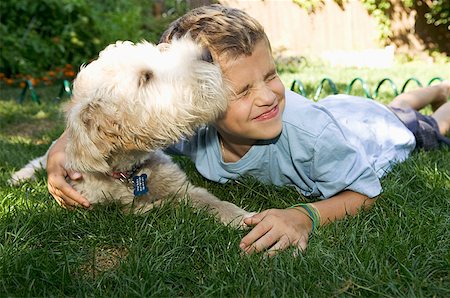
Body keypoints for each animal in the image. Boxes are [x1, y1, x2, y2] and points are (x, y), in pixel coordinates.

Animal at [8, 38, 253, 227]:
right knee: (39, 159)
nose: (207, 54)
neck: (130, 173)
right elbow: (159, 206)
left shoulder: (183, 186)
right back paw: (18, 177)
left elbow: (214, 202)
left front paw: (243, 218)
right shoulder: (113, 212)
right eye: (146, 77)